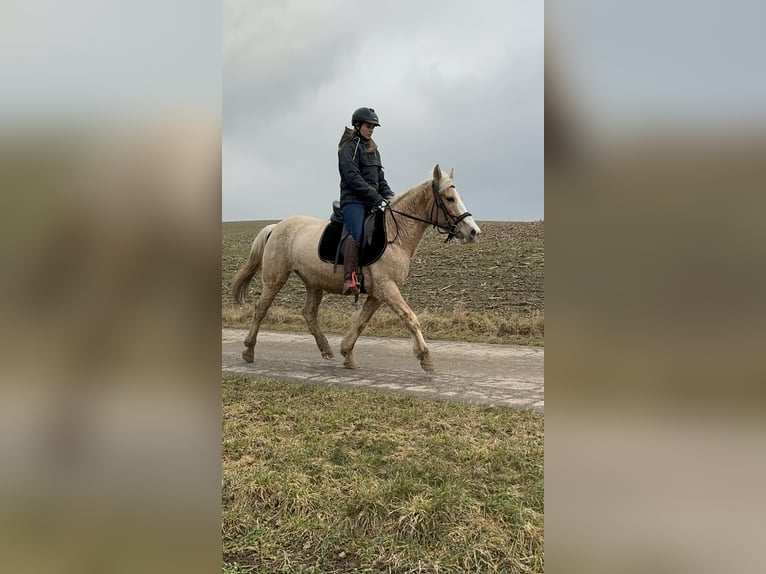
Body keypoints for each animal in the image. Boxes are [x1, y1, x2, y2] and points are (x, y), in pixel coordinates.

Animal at [231, 164, 484, 376]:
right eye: (449, 198)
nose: (473, 232)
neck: (396, 234)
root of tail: (276, 226)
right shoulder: (387, 288)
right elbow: (410, 318)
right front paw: (426, 359)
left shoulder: (377, 294)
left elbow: (361, 322)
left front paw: (347, 354)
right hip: (275, 279)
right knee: (261, 308)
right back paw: (249, 351)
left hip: (314, 283)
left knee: (309, 313)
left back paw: (326, 349)